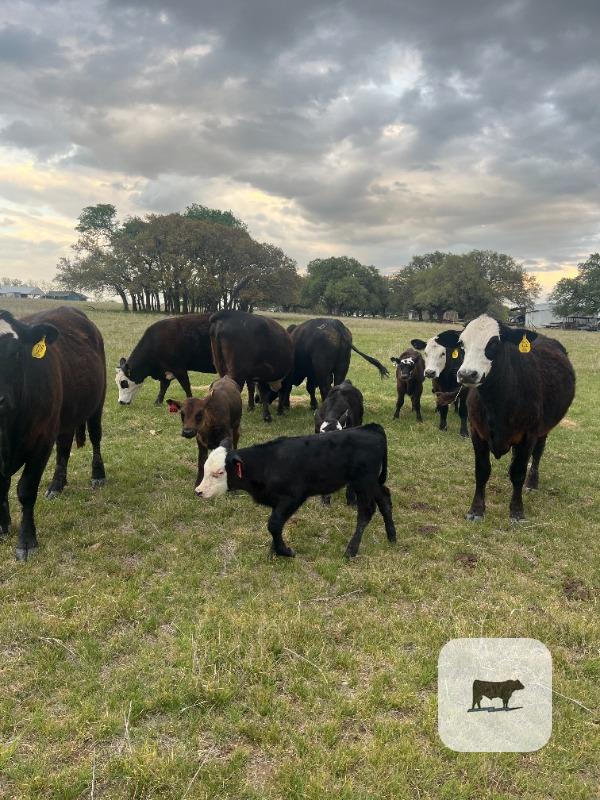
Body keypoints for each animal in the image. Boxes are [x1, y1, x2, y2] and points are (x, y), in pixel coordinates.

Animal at [0, 307, 106, 561]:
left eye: (16, 353)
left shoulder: (41, 440)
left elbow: (26, 490)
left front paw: (26, 541)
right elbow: (1, 485)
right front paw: (2, 525)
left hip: (97, 402)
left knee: (95, 436)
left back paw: (98, 474)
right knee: (64, 447)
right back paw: (57, 484)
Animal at [195, 424, 397, 558]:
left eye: (219, 472)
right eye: (205, 468)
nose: (199, 491)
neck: (267, 463)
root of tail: (370, 428)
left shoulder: (293, 497)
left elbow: (274, 524)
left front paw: (284, 551)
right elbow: (275, 526)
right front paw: (274, 550)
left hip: (363, 483)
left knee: (366, 511)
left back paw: (351, 550)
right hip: (372, 483)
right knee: (385, 499)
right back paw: (392, 536)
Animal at [457, 315, 575, 522]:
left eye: (494, 343)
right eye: (462, 344)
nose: (467, 375)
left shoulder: (528, 435)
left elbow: (519, 472)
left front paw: (517, 511)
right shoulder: (476, 432)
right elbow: (482, 471)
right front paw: (476, 510)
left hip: (544, 429)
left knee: (537, 454)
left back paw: (532, 482)